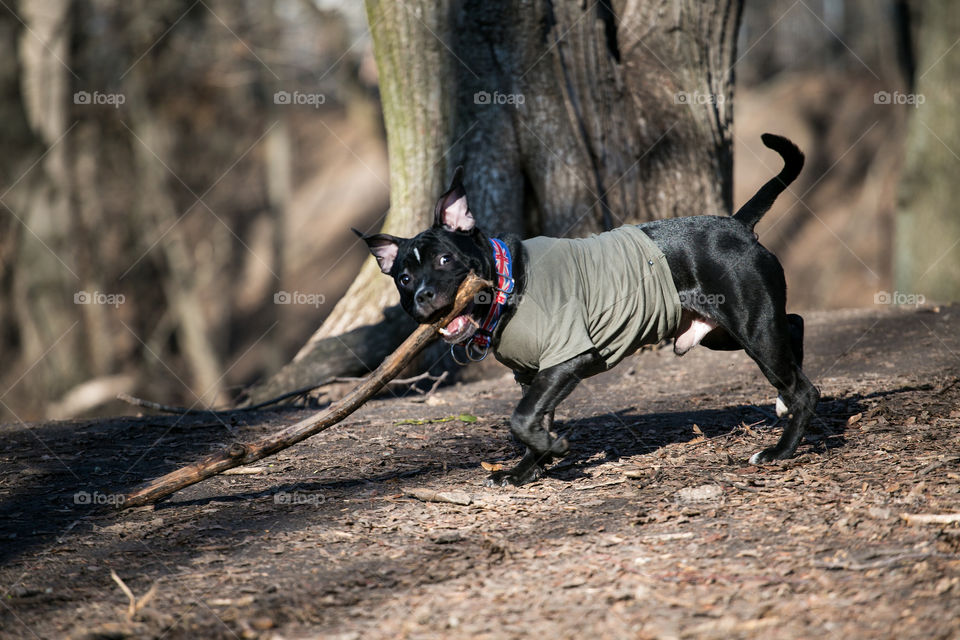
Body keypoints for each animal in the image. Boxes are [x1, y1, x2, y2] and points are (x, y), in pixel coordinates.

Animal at [356, 135, 820, 484]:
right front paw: (525, 471)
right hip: (724, 331)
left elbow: (521, 420)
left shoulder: (565, 359)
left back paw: (780, 450)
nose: (422, 297)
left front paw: (554, 449)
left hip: (751, 324)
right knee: (794, 324)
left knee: (804, 387)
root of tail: (737, 225)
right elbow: (533, 421)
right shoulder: (534, 377)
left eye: (444, 260)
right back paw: (782, 403)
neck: (511, 281)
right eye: (403, 277)